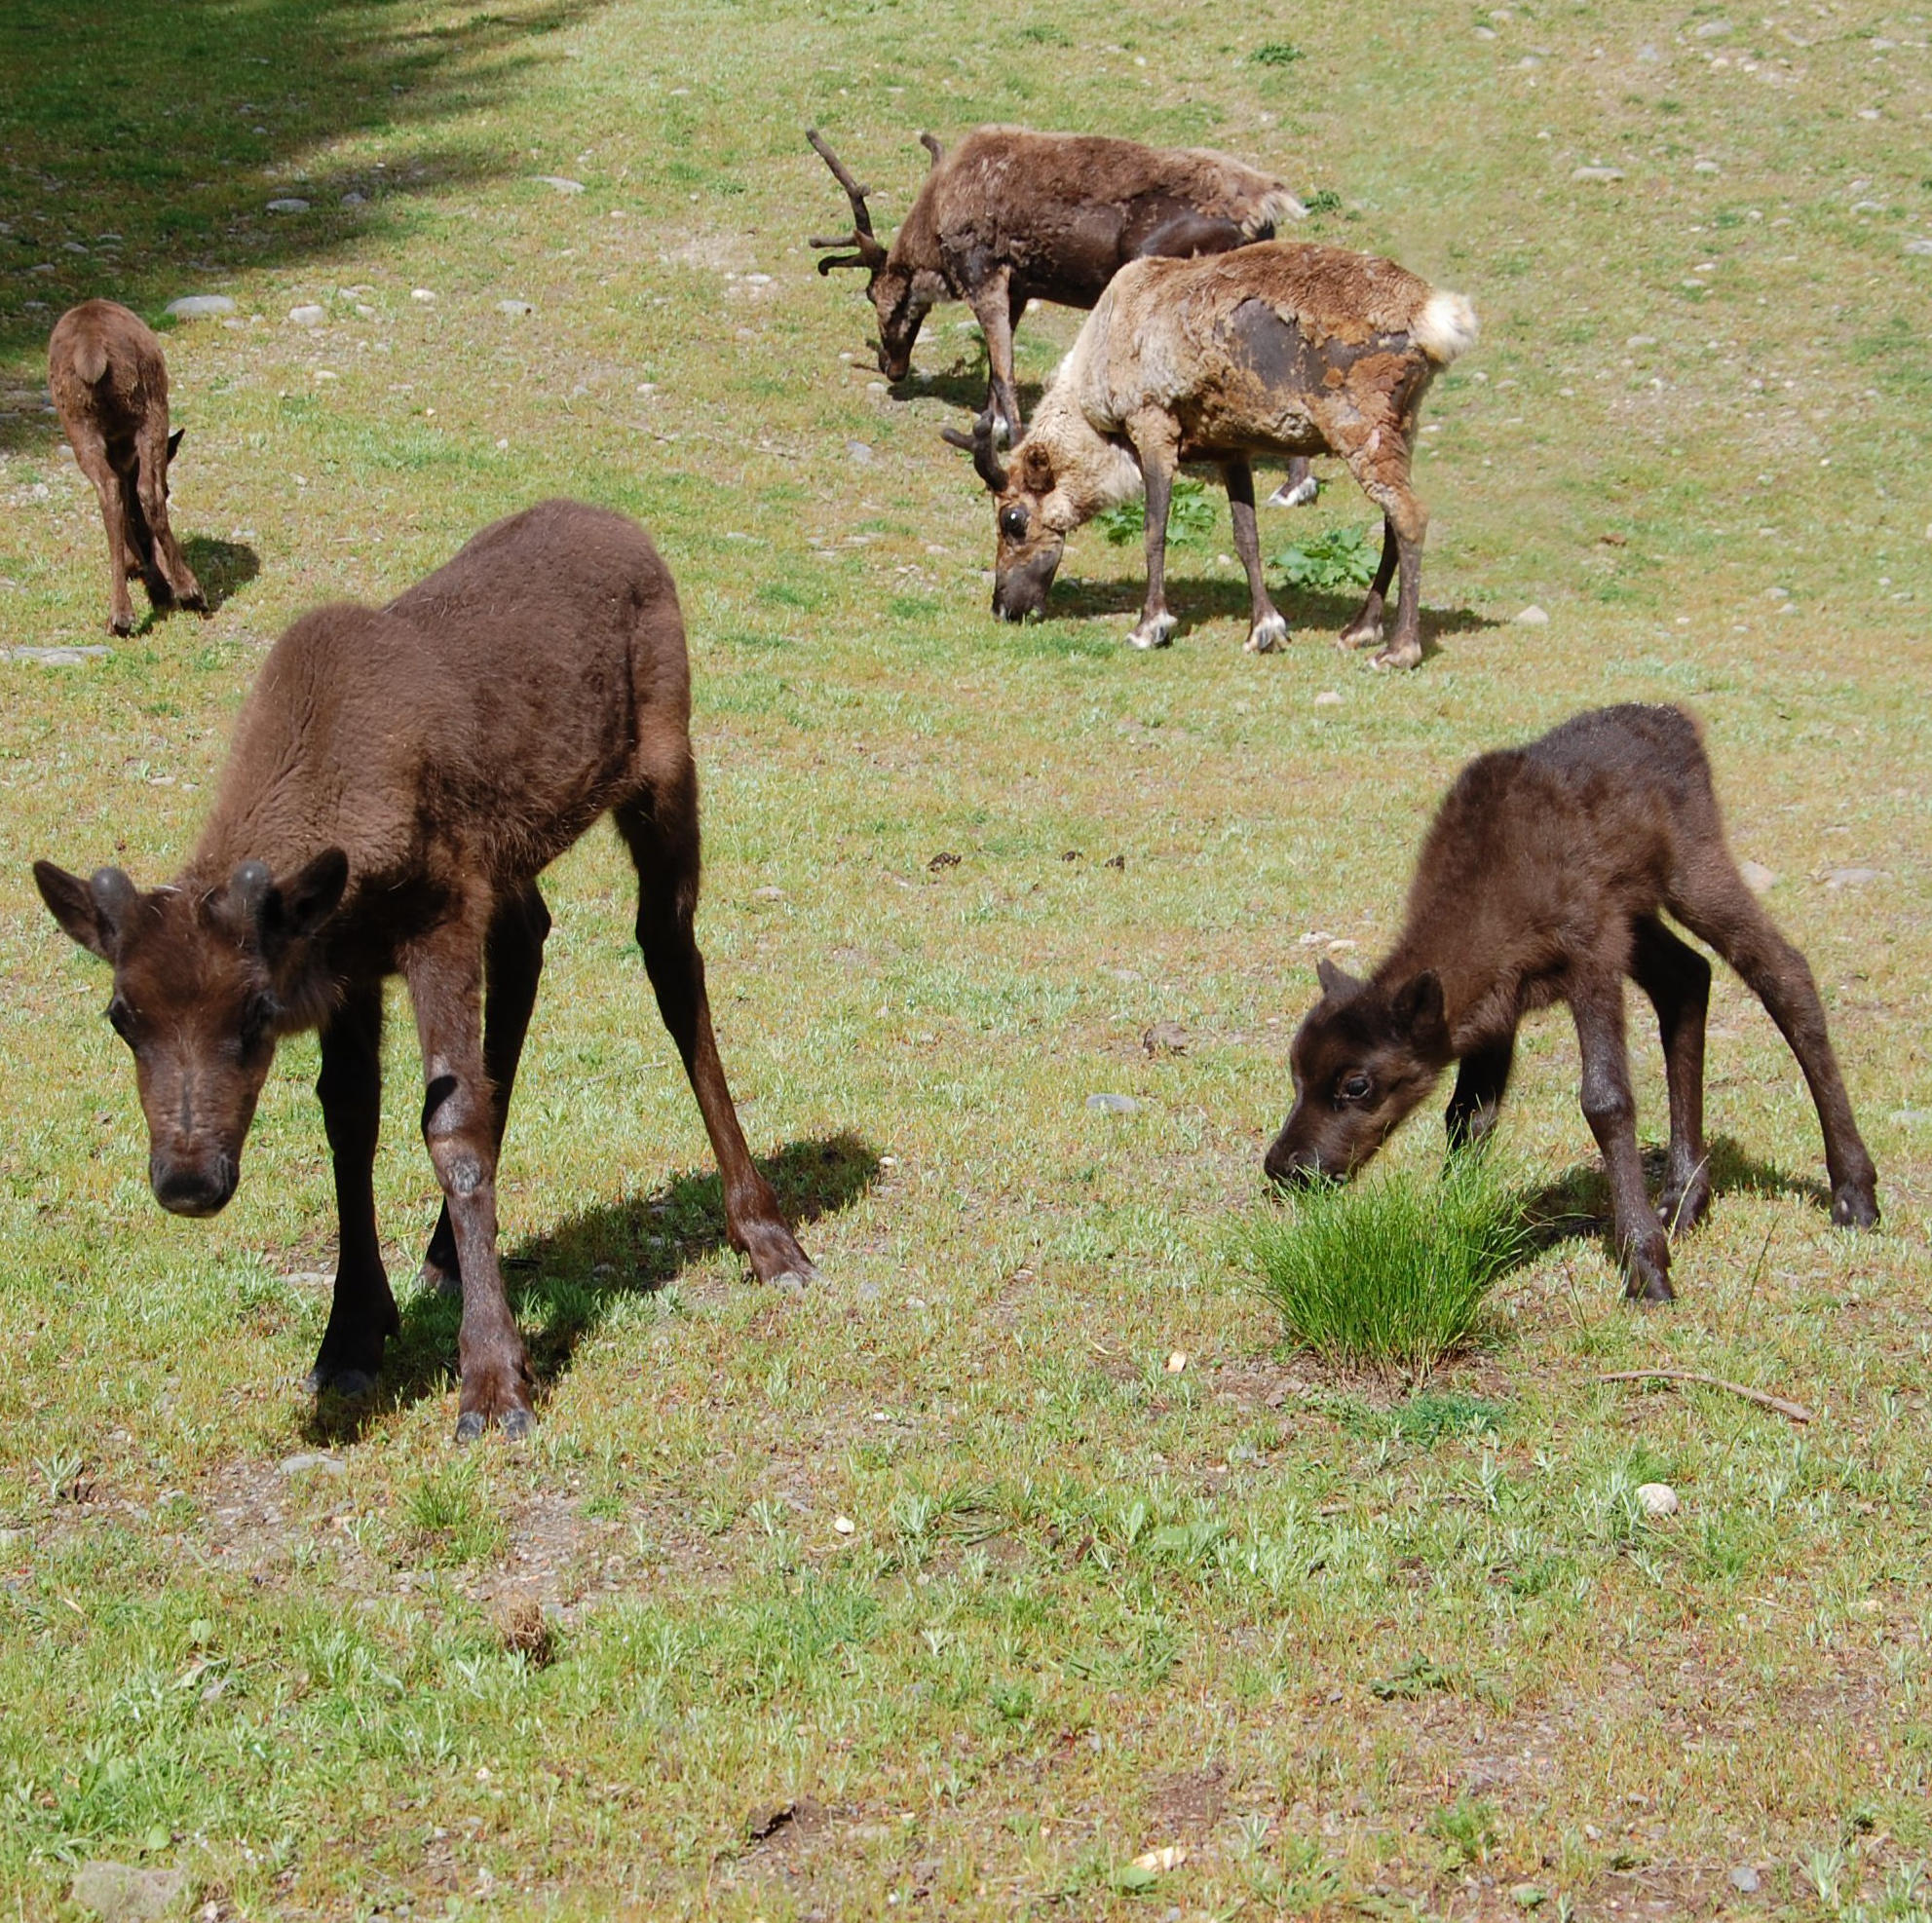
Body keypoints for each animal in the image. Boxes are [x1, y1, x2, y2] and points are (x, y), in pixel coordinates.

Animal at [33, 502, 814, 1438]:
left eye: (255, 1011)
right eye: (121, 1016)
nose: (188, 1181)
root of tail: (627, 528)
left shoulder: (438, 915)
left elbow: (451, 1127)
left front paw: (494, 1380)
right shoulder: (351, 965)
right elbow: (349, 1120)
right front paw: (350, 1338)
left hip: (664, 769)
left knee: (670, 958)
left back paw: (766, 1234)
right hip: (512, 859)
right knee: (529, 944)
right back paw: (445, 1253)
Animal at [47, 297, 206, 633]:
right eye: (173, 490)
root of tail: (93, 355)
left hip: (103, 417)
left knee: (124, 490)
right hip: (132, 414)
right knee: (132, 490)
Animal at [1259, 699, 1877, 1299]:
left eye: (1356, 1085)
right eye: (1295, 1072)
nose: (1286, 1168)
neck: (1492, 886)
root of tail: (1676, 720)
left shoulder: (1592, 954)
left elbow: (1604, 1099)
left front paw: (1646, 1268)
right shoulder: (1496, 1011)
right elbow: (1468, 1115)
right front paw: (1448, 1236)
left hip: (1693, 873)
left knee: (1784, 974)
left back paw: (1854, 1194)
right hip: (1638, 915)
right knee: (1687, 979)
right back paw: (1683, 1199)